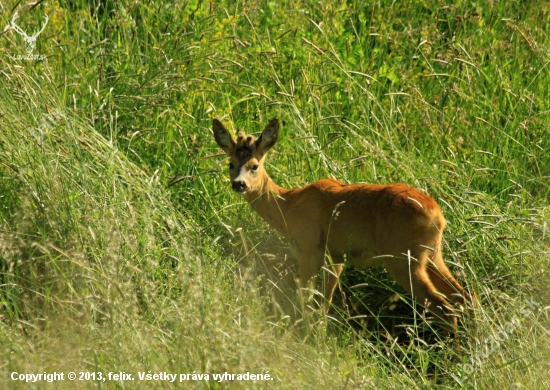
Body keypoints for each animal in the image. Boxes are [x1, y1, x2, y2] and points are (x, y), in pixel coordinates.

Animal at [211, 117, 474, 330]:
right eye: (230, 163)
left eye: (254, 165)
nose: (239, 184)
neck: (288, 206)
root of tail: (437, 215)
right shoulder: (335, 257)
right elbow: (323, 305)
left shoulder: (309, 249)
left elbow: (305, 298)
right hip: (432, 254)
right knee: (466, 296)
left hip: (404, 258)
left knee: (445, 308)